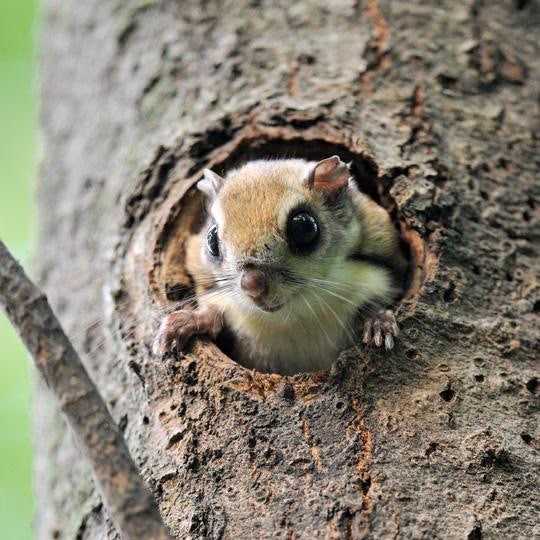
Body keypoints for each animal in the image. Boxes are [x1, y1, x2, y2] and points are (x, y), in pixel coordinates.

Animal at [154, 156, 408, 374]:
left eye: (304, 227)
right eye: (211, 238)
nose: (251, 285)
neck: (293, 317)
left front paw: (377, 321)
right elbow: (214, 313)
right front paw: (184, 323)